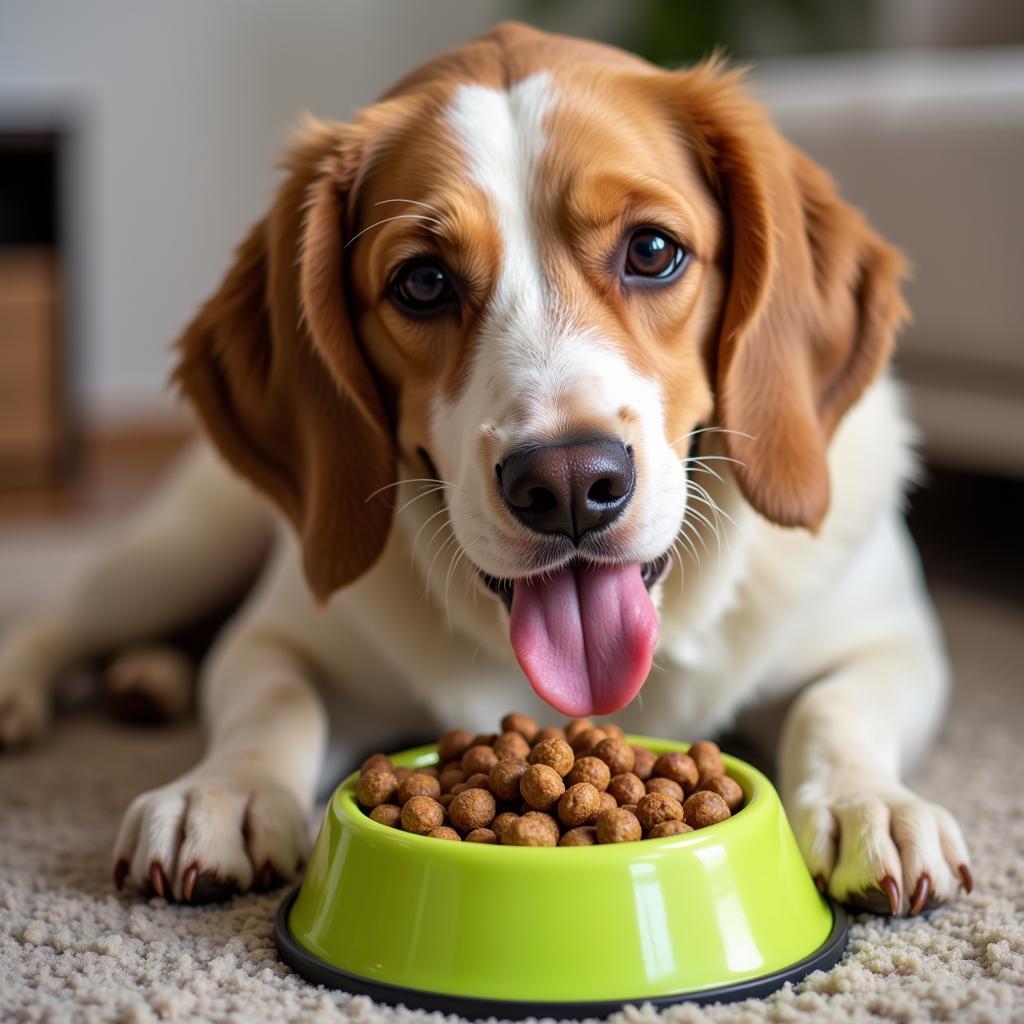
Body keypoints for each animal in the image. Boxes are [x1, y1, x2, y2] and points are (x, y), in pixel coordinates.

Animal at [0, 24, 966, 917]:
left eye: (653, 251)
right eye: (423, 282)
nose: (570, 484)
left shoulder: (894, 640)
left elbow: (834, 708)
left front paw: (868, 801)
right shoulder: (277, 638)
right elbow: (271, 703)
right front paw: (223, 788)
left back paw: (146, 676)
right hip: (188, 540)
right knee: (69, 619)